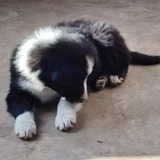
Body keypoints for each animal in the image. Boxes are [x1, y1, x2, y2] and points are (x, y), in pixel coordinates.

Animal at [5, 19, 160, 139]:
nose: (85, 99)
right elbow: (21, 106)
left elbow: (64, 101)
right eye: (73, 78)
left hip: (109, 44)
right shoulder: (17, 89)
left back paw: (115, 76)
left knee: (124, 61)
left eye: (86, 77)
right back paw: (101, 80)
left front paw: (64, 118)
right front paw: (25, 127)